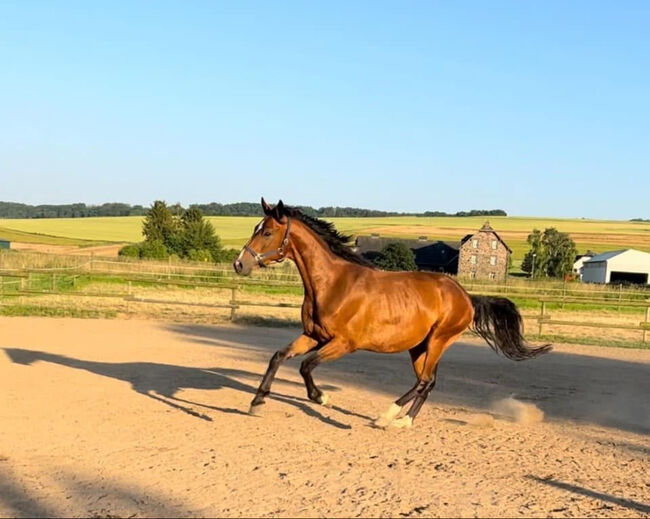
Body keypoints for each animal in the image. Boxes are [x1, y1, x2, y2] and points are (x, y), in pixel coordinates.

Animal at [233, 198, 548, 426]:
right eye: (256, 228)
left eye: (267, 232)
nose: (239, 264)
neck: (333, 284)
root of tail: (466, 296)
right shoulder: (312, 335)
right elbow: (278, 357)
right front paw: (256, 402)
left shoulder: (343, 343)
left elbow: (305, 366)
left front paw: (322, 398)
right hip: (419, 347)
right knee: (428, 382)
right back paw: (402, 420)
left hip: (438, 341)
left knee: (424, 381)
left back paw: (387, 417)